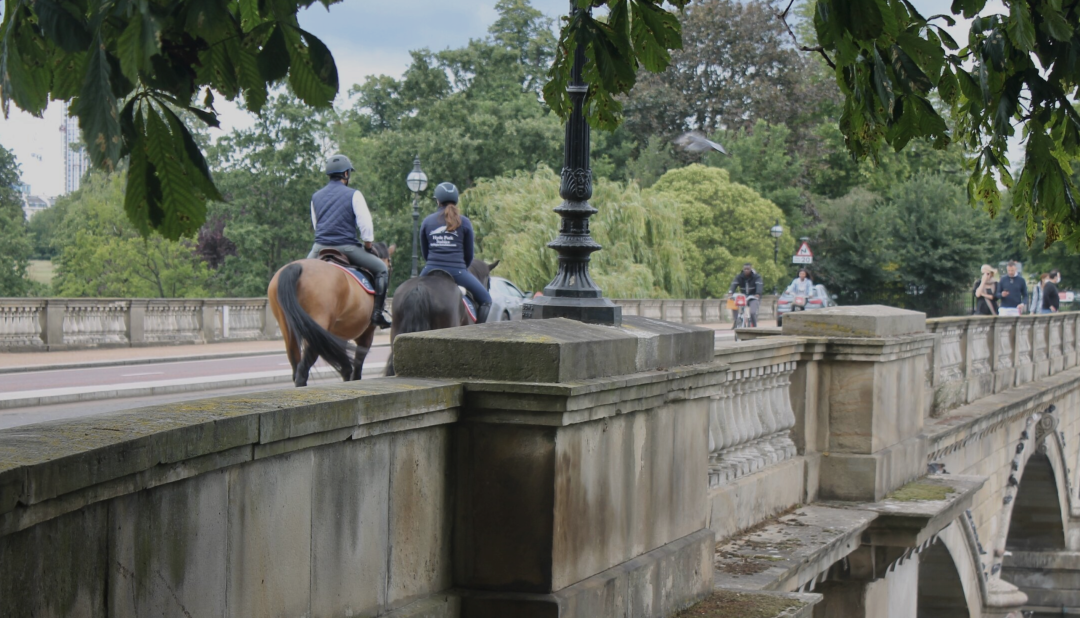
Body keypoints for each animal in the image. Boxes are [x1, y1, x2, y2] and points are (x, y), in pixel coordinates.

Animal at [267, 243, 395, 384]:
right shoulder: (366, 334)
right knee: (303, 370)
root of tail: (296, 266)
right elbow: (357, 368)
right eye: (390, 264)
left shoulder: (340, 335)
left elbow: (346, 367)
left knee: (296, 365)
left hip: (289, 329)